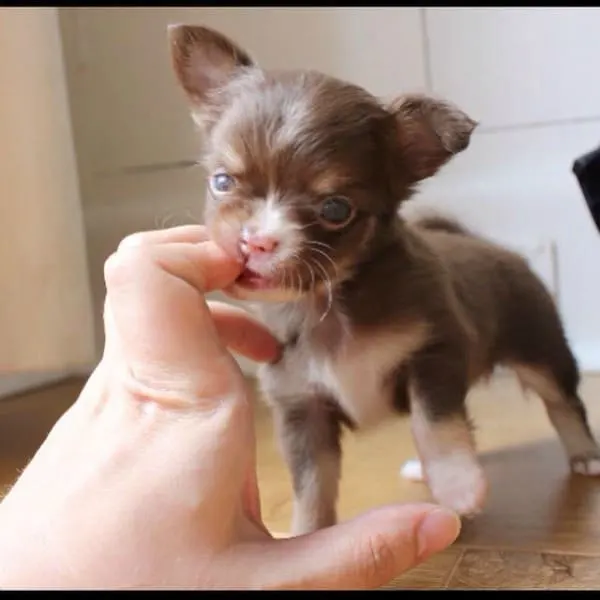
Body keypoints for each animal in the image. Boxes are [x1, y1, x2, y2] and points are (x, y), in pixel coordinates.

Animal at [169, 23, 600, 536]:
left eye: (336, 209)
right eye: (221, 183)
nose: (254, 241)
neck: (328, 305)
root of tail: (485, 243)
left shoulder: (434, 355)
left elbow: (434, 423)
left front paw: (458, 485)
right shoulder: (301, 406)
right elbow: (311, 484)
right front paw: (306, 534)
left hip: (541, 348)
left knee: (564, 401)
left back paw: (585, 456)